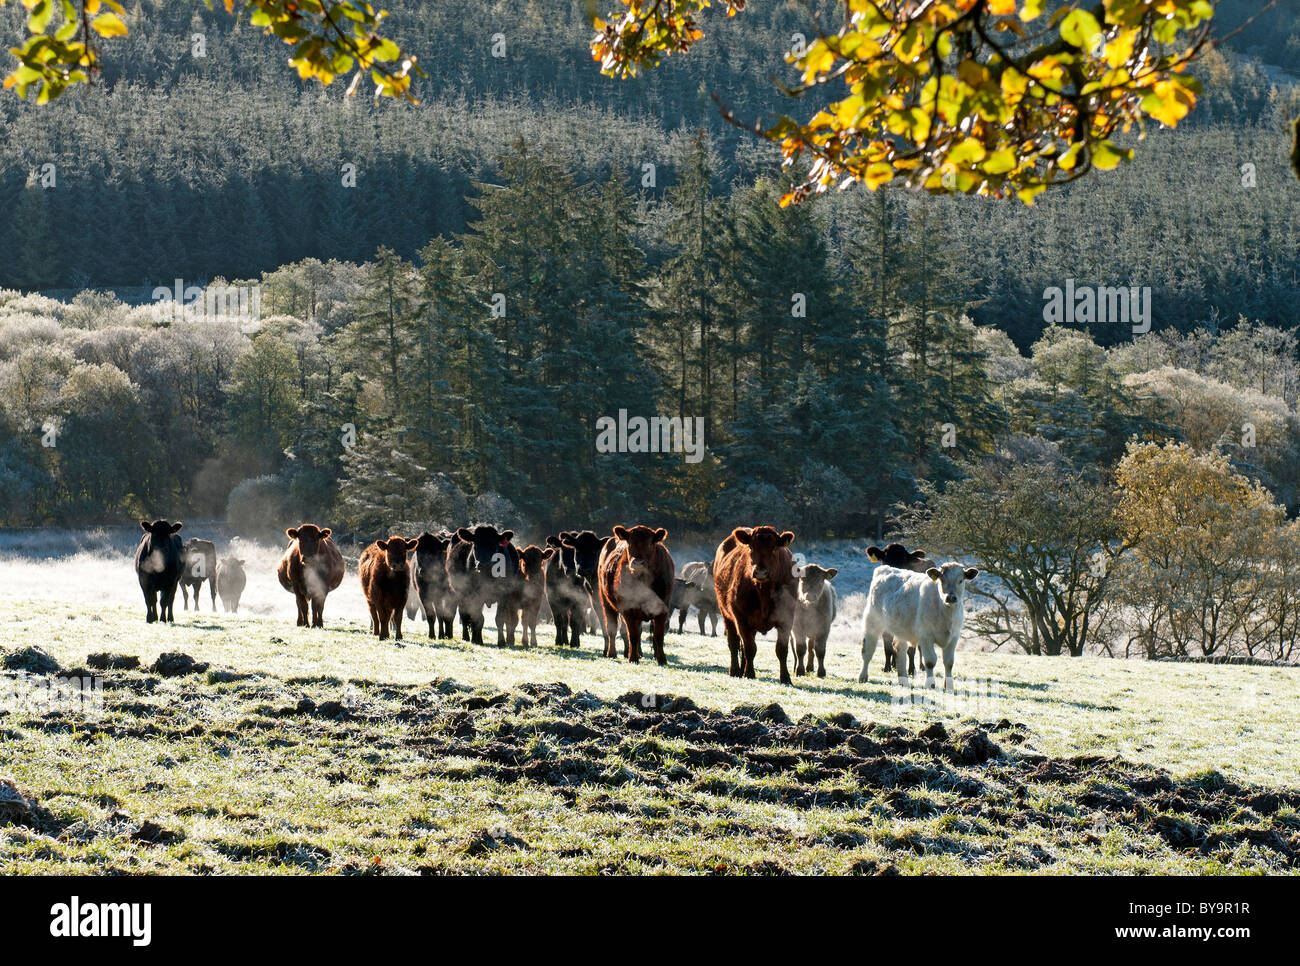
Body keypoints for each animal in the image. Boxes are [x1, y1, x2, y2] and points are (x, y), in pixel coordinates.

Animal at [597, 525, 675, 665]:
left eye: (650, 543)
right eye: (629, 543)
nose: (638, 562)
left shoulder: (662, 609)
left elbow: (658, 636)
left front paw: (661, 659)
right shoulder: (628, 610)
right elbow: (632, 635)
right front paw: (633, 658)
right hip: (606, 601)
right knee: (612, 629)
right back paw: (612, 653)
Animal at [714, 526, 798, 684]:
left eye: (774, 548)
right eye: (751, 547)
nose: (761, 572)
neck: (763, 590)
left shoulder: (787, 618)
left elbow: (781, 649)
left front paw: (785, 678)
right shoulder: (740, 617)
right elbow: (750, 648)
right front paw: (749, 674)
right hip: (726, 614)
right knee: (734, 642)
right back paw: (735, 670)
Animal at [858, 562, 979, 691]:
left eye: (960, 580)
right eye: (942, 579)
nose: (951, 597)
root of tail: (884, 568)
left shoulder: (954, 637)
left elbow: (949, 662)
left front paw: (949, 686)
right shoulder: (925, 636)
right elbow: (930, 661)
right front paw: (930, 684)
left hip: (901, 628)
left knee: (899, 649)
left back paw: (903, 680)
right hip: (872, 621)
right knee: (868, 650)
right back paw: (863, 677)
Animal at [866, 544, 936, 676]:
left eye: (904, 561)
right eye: (885, 559)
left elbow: (911, 649)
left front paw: (911, 670)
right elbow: (888, 647)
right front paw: (887, 667)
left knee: (920, 647)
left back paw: (922, 666)